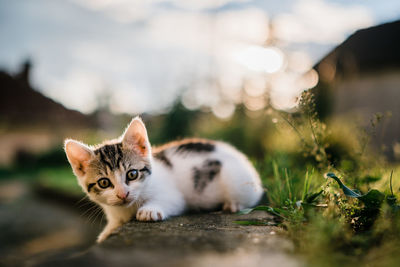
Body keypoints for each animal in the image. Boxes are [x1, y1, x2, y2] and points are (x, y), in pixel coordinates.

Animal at [64, 116, 264, 243]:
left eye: (132, 174)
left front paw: (149, 210)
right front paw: (107, 233)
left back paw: (233, 204)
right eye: (104, 183)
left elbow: (170, 200)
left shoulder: (175, 196)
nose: (123, 194)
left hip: (238, 181)